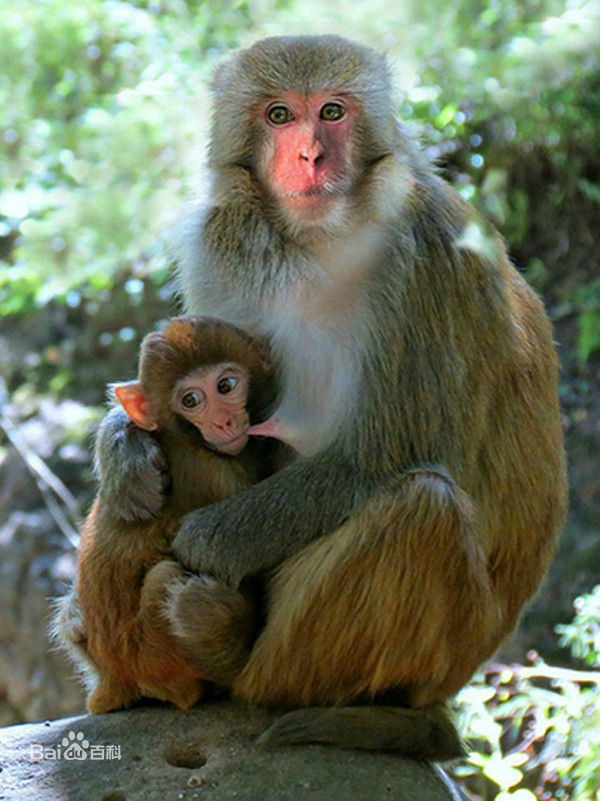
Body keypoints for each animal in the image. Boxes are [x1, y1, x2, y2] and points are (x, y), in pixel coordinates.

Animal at [55, 314, 276, 712]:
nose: (223, 422)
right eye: (191, 400)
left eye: (226, 385)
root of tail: (116, 679)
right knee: (164, 578)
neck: (187, 439)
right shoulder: (219, 476)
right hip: (156, 661)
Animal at [96, 36, 564, 756]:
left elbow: (385, 452)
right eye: (280, 115)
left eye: (334, 112)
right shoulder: (221, 243)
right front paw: (123, 453)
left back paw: (232, 654)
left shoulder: (431, 249)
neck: (322, 238)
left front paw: (201, 542)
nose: (311, 155)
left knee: (423, 508)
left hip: (419, 659)